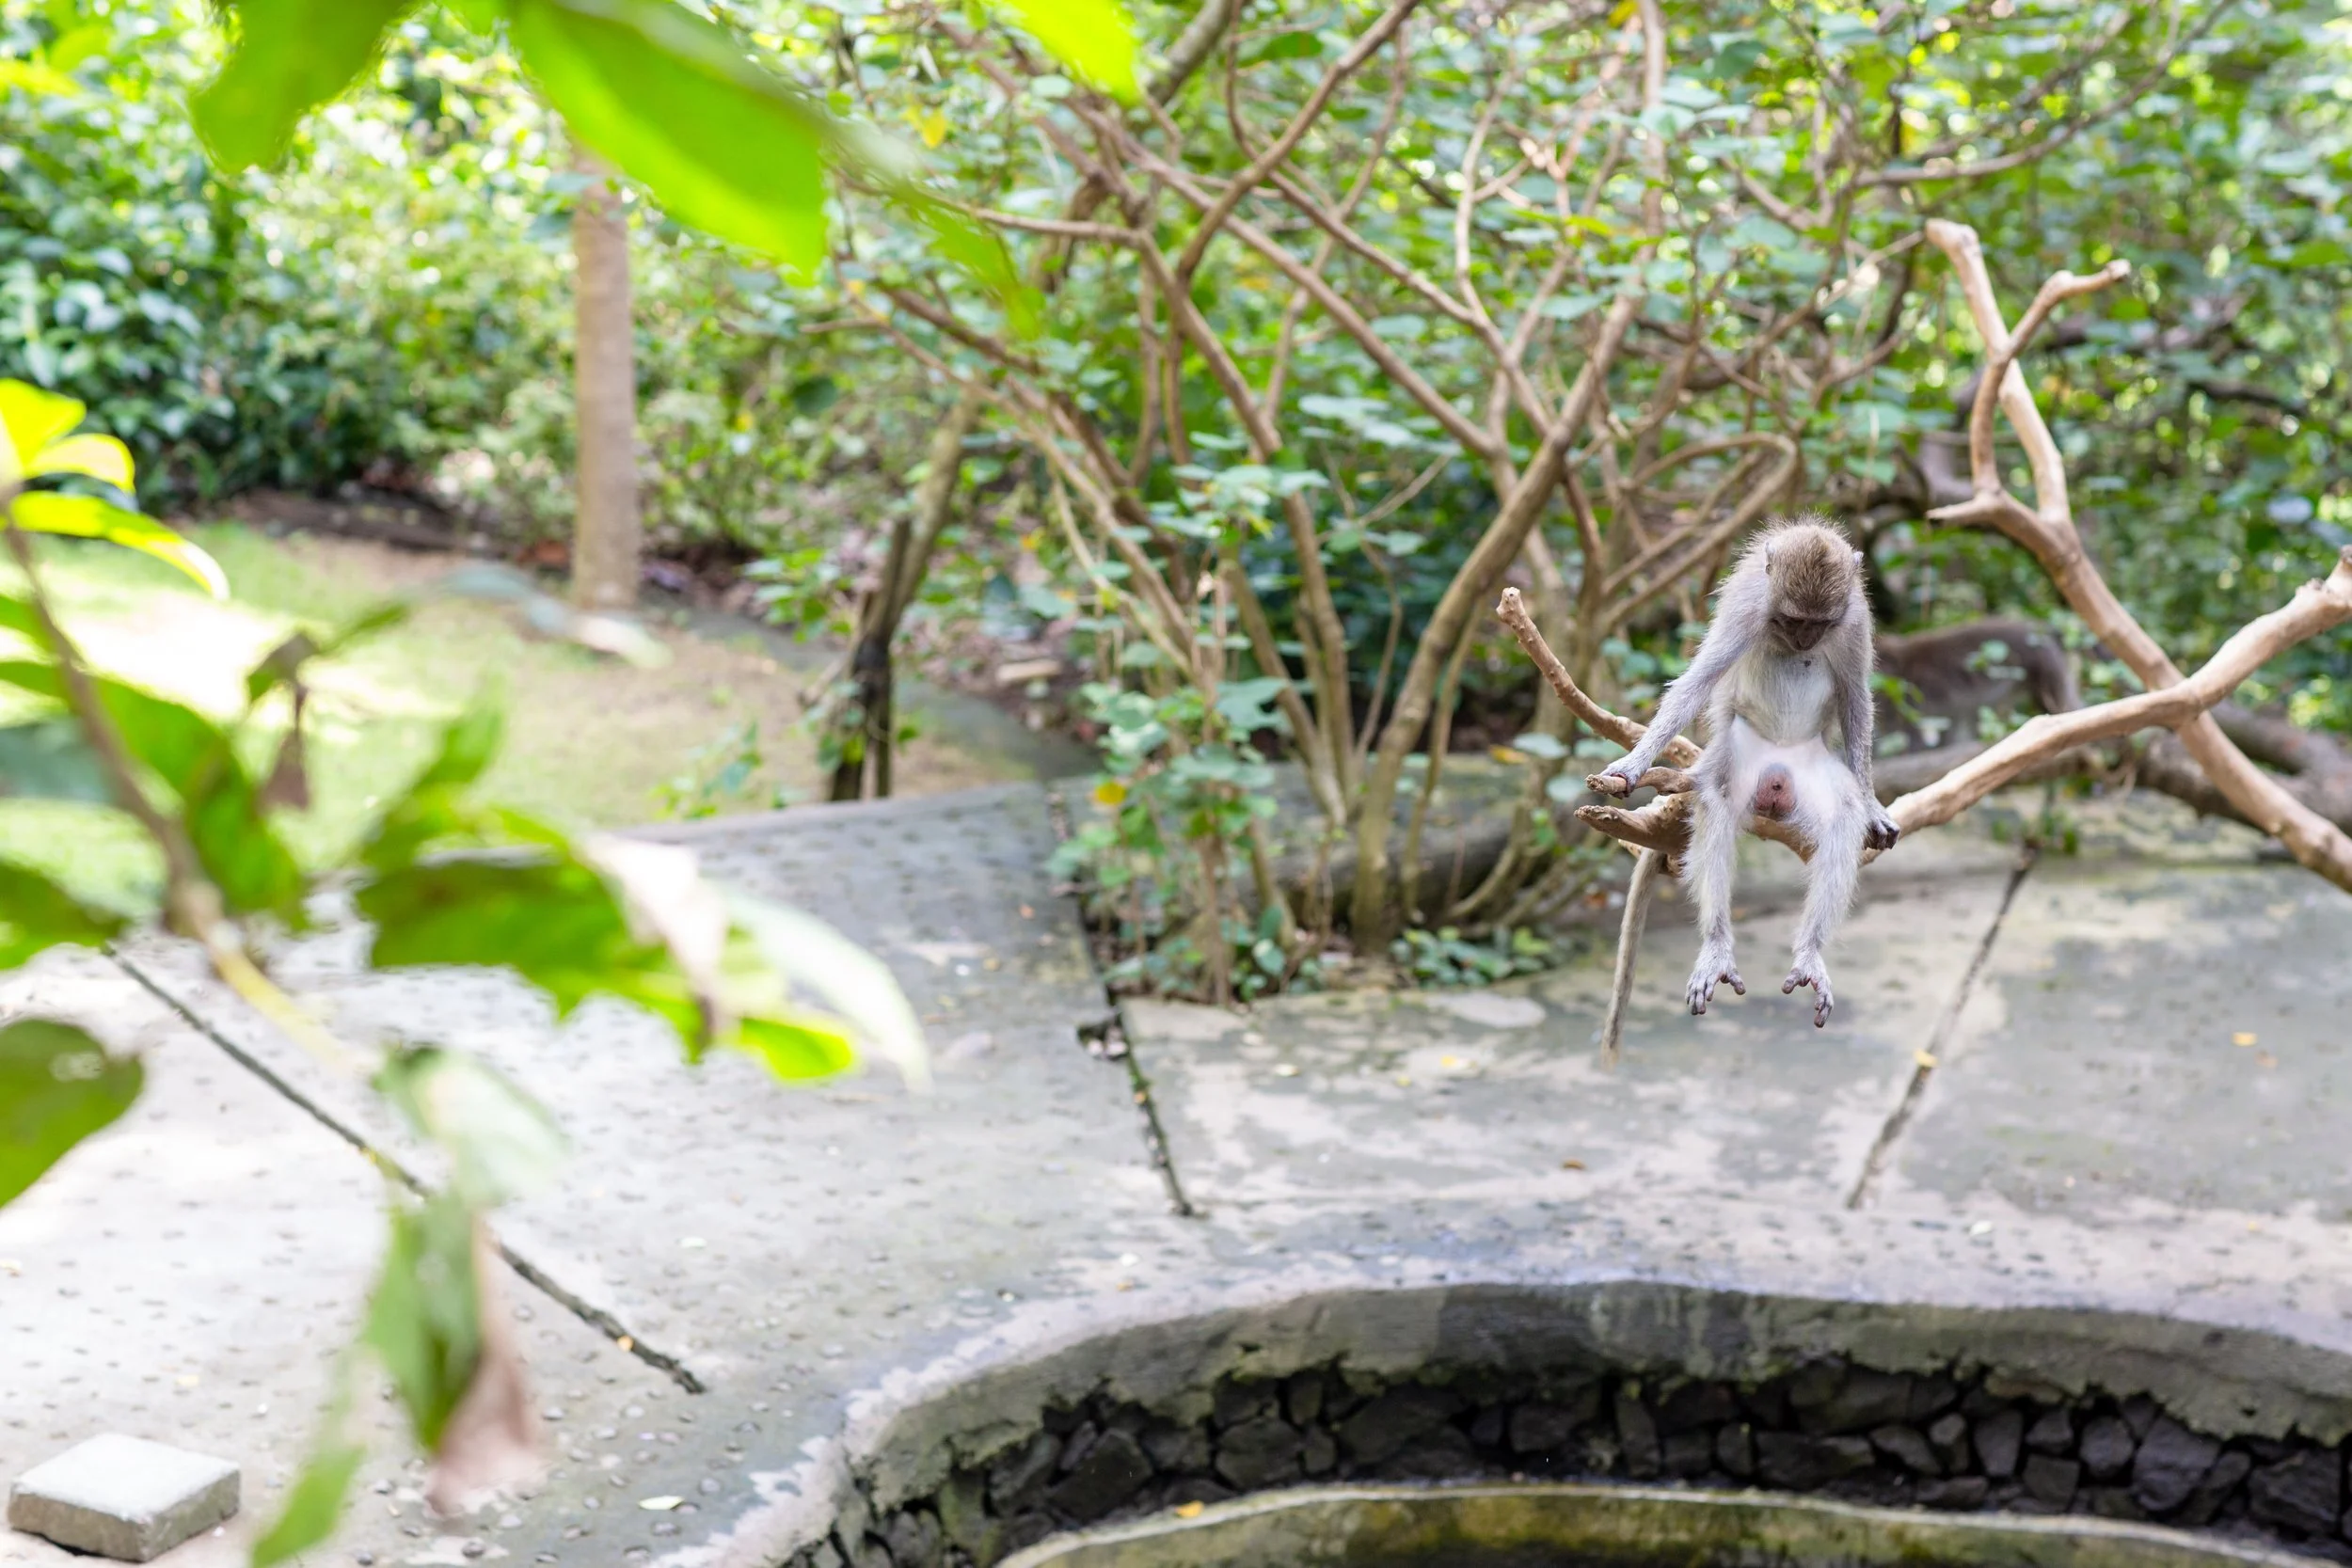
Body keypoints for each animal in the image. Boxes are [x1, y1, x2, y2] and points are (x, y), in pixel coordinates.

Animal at [1592, 517, 1899, 1027]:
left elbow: (1856, 698)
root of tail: (1776, 779)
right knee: (1716, 802)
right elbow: (1698, 680)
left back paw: (1810, 952)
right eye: (1794, 621)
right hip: (1735, 757)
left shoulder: (1854, 620)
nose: (1805, 642)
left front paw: (1874, 804)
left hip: (1811, 773)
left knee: (1842, 817)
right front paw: (1636, 762)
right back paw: (1717, 946)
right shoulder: (1747, 605)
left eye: (1819, 624)